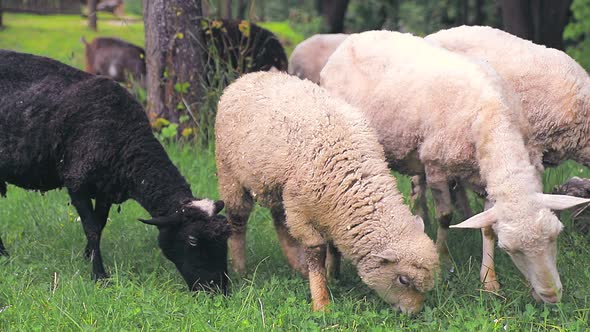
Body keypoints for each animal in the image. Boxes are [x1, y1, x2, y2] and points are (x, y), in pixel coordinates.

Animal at [0, 50, 231, 294]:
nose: (218, 291)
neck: (125, 139)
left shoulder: (106, 189)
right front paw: (99, 275)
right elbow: (92, 228)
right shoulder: (77, 182)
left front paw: (88, 256)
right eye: (192, 241)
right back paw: (4, 254)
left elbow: (100, 225)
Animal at [217, 71, 440, 312]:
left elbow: (334, 246)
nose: (413, 313)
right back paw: (241, 270)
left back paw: (297, 267)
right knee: (238, 222)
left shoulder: (333, 211)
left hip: (276, 188)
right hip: (230, 175)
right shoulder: (302, 212)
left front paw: (334, 276)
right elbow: (316, 253)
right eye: (403, 280)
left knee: (279, 223)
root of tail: (247, 77)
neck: (351, 178)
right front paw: (321, 302)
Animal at [324, 31, 590, 304]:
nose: (551, 295)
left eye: (555, 236)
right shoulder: (436, 167)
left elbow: (487, 228)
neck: (491, 114)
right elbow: (444, 217)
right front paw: (442, 259)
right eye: (510, 249)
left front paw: (489, 281)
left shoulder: (486, 178)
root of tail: (356, 37)